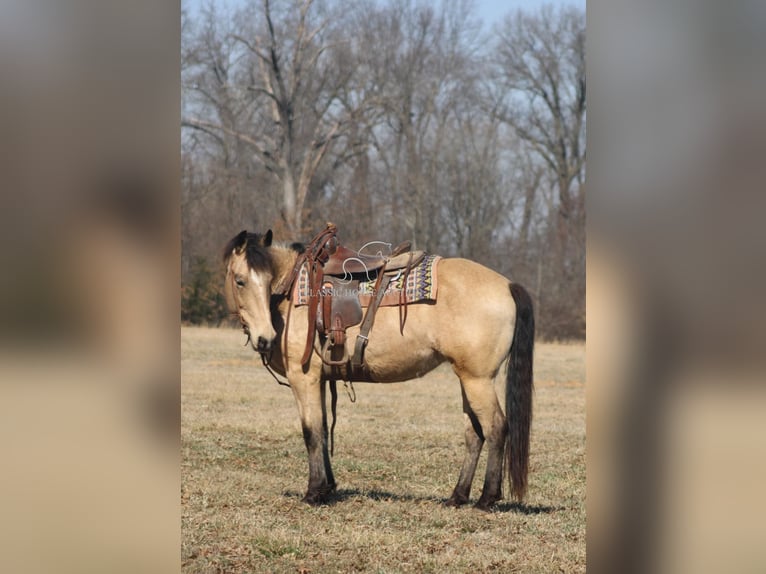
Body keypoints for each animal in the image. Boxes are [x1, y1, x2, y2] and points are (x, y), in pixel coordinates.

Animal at [222, 223, 536, 510]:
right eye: (240, 281)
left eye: (263, 280)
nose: (265, 338)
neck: (291, 293)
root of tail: (507, 285)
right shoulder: (321, 380)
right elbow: (323, 430)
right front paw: (328, 488)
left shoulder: (304, 378)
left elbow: (311, 432)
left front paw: (314, 493)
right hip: (467, 378)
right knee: (474, 434)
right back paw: (457, 496)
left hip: (478, 380)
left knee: (496, 428)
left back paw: (487, 498)